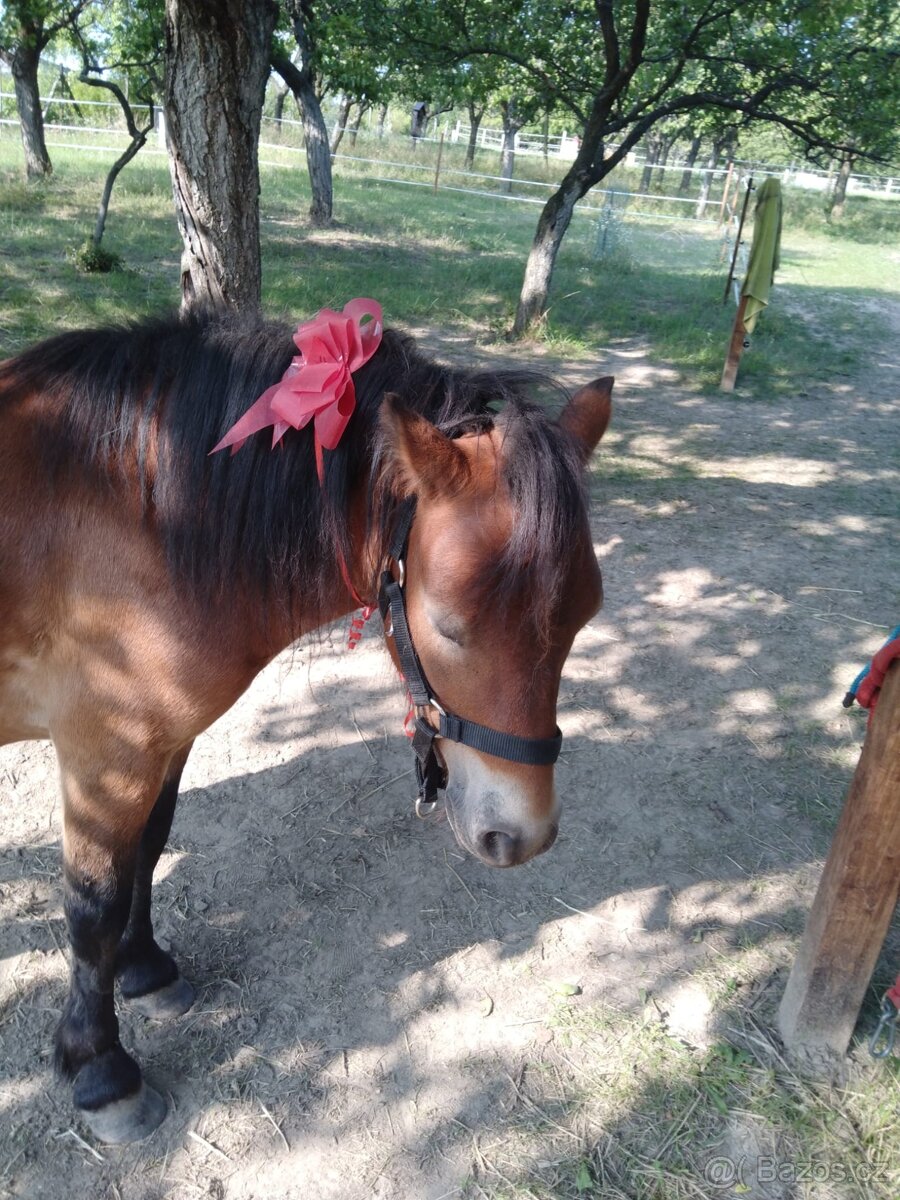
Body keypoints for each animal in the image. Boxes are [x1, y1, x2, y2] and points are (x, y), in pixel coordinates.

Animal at [0, 304, 612, 1144]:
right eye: (448, 628)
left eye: (585, 617)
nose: (521, 836)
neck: (146, 511)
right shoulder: (105, 750)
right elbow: (93, 904)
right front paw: (100, 1070)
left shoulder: (159, 743)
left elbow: (144, 857)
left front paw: (146, 970)